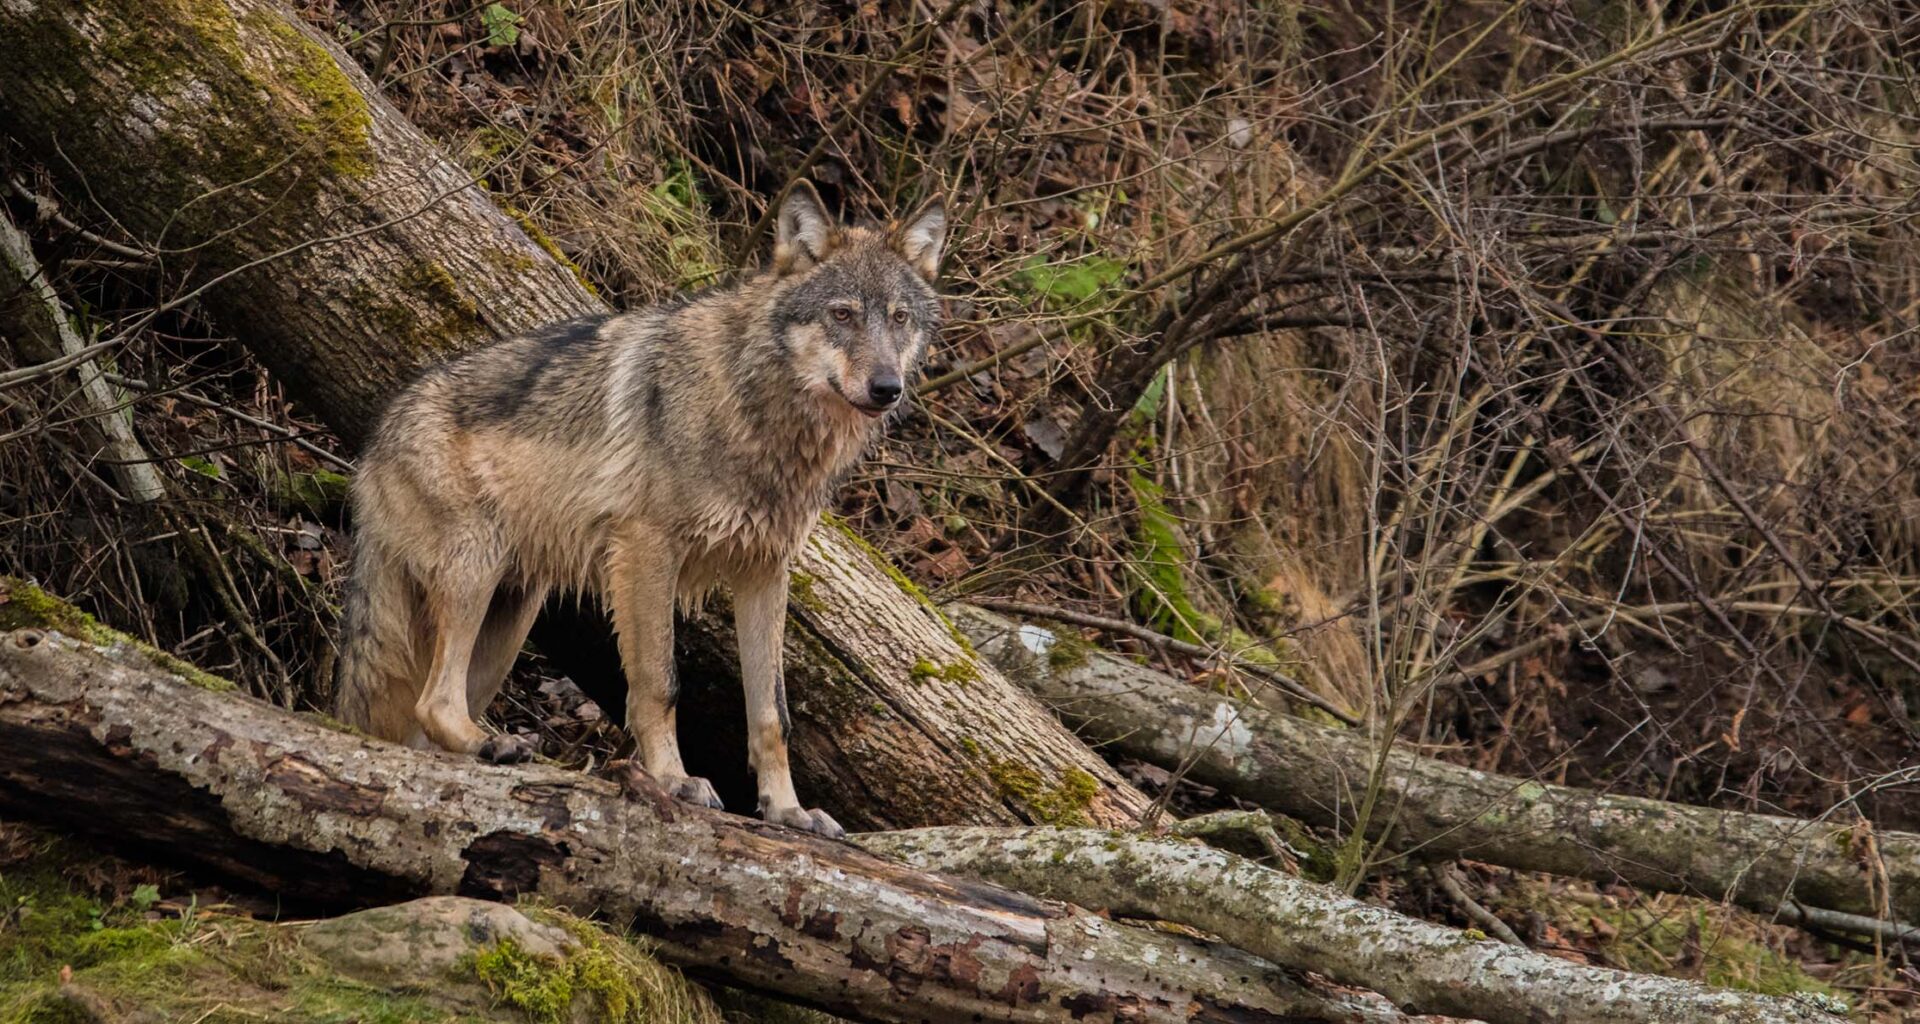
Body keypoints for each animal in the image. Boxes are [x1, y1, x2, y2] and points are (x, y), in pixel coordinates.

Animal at [332, 183, 945, 837]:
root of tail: (375, 442)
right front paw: (674, 780)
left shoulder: (764, 572)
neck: (756, 415)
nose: (887, 388)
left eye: (899, 318)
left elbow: (771, 714)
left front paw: (788, 811)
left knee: (426, 726)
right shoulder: (647, 550)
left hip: (509, 617)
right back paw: (491, 744)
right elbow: (659, 683)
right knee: (434, 702)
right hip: (476, 574)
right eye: (843, 314)